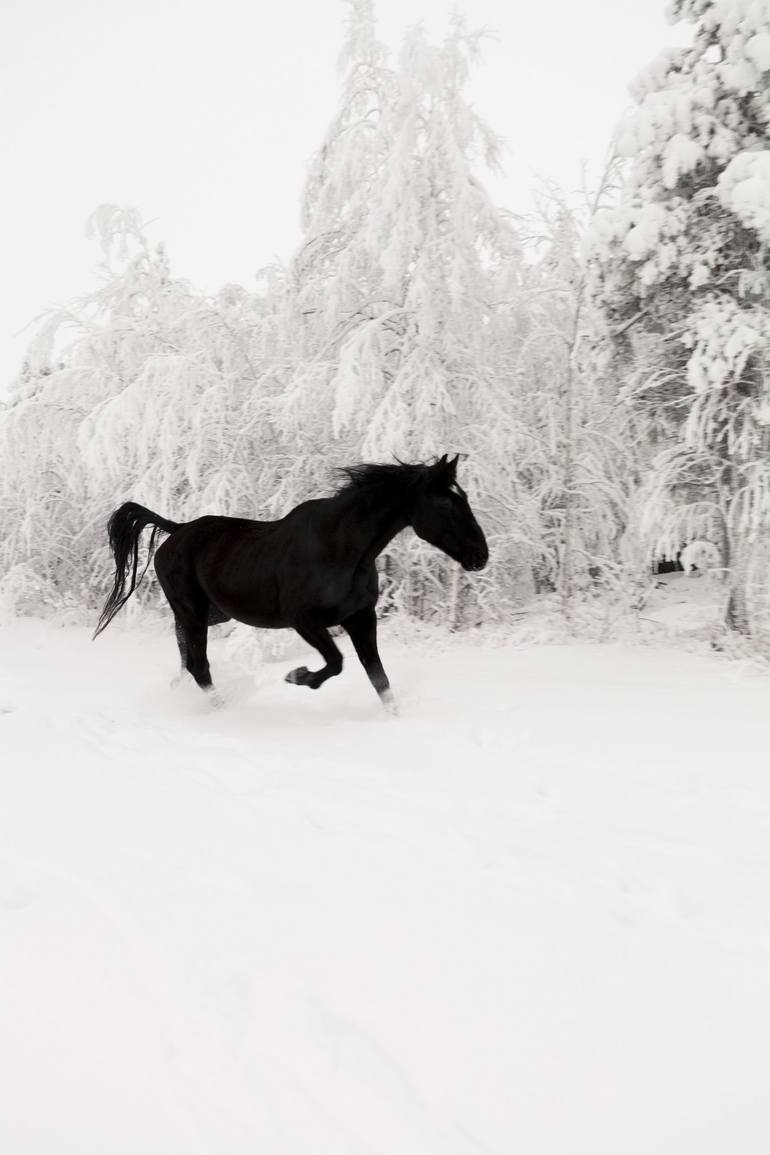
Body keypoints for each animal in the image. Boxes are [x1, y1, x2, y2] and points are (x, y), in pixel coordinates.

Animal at [91, 452, 487, 706]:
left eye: (465, 497)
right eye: (446, 503)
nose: (480, 555)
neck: (342, 547)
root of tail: (177, 530)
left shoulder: (361, 618)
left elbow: (380, 679)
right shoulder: (304, 620)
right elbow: (336, 662)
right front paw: (298, 676)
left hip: (208, 615)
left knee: (187, 660)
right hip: (192, 612)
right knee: (199, 666)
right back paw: (221, 710)